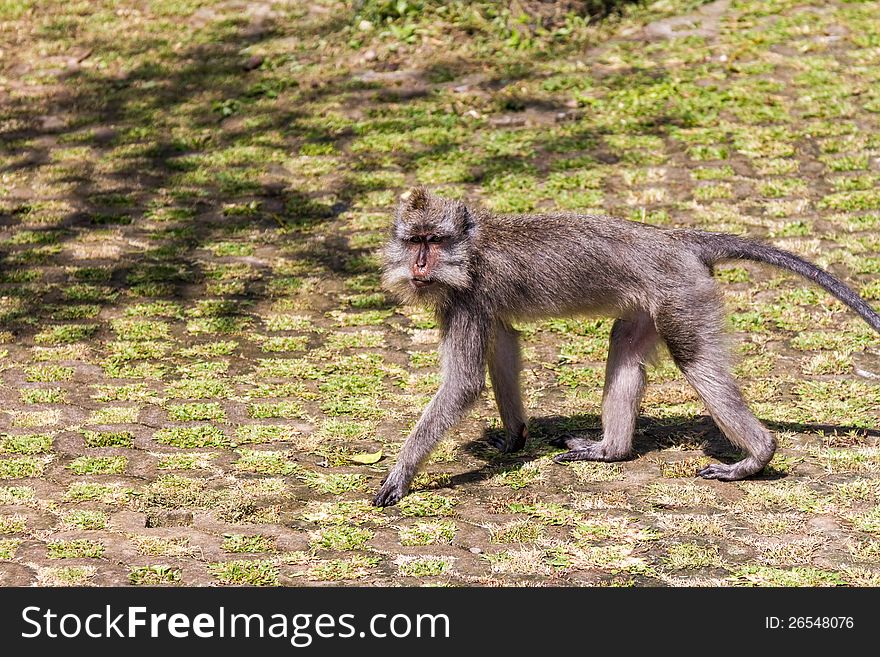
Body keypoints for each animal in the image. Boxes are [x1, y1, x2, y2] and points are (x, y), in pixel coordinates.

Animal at [370, 187, 880, 504]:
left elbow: (463, 385)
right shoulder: (477, 305)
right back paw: (612, 450)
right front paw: (515, 436)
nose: (419, 265)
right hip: (652, 303)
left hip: (683, 293)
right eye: (414, 240)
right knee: (625, 345)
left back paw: (758, 456)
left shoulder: (467, 298)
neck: (471, 250)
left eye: (434, 240)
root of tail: (676, 238)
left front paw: (401, 474)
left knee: (694, 359)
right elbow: (505, 346)